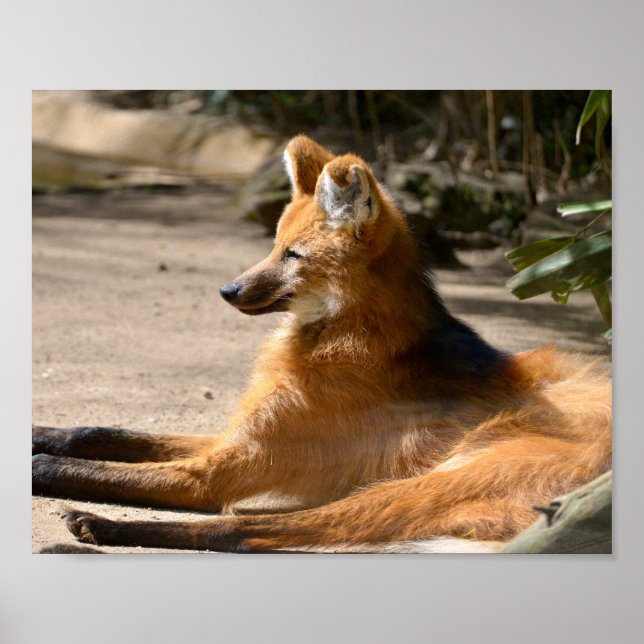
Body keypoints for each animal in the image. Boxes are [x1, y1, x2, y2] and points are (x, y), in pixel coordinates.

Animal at [32, 135, 611, 552]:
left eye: (294, 255)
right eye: (273, 246)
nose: (228, 290)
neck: (335, 336)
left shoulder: (214, 474)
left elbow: (92, 468)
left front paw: (41, 464)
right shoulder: (234, 437)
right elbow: (101, 431)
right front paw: (43, 432)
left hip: (444, 478)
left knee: (246, 531)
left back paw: (99, 525)